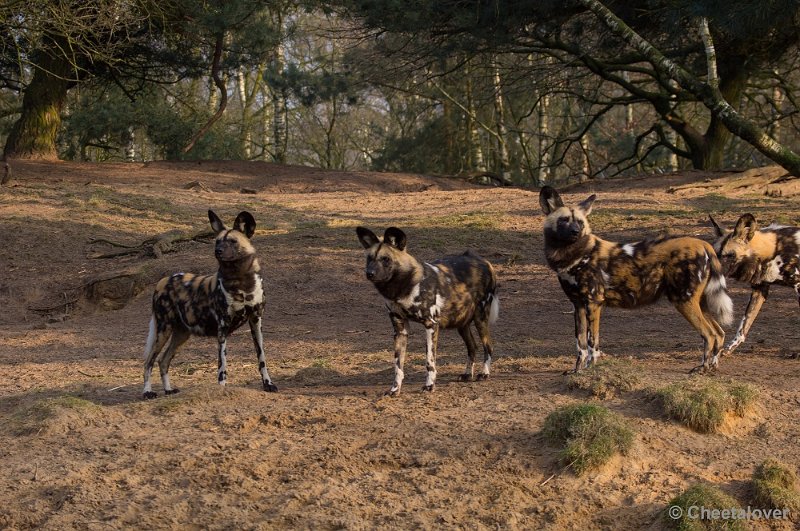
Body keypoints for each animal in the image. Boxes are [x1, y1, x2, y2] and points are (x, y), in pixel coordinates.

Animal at [142, 211, 280, 400]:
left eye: (233, 241)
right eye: (217, 241)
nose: (217, 251)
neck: (240, 282)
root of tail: (162, 281)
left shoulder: (256, 321)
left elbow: (262, 358)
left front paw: (268, 384)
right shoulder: (222, 327)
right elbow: (222, 364)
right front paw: (221, 388)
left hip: (181, 335)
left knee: (163, 361)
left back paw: (168, 390)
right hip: (164, 330)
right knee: (148, 361)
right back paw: (147, 392)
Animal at [354, 227, 496, 396]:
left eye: (386, 259)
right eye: (369, 258)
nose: (369, 273)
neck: (402, 287)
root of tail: (483, 261)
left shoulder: (431, 325)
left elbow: (429, 361)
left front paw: (429, 385)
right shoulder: (400, 330)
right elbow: (398, 365)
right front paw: (395, 389)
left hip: (480, 319)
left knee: (488, 347)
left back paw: (484, 373)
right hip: (461, 323)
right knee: (472, 347)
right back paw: (468, 374)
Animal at [540, 187, 736, 374]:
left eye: (580, 222)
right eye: (564, 220)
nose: (576, 232)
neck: (574, 255)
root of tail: (705, 245)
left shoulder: (594, 303)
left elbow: (591, 343)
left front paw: (589, 370)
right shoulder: (578, 305)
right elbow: (580, 344)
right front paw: (577, 371)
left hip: (683, 301)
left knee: (709, 334)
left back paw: (702, 368)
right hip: (699, 302)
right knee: (719, 333)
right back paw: (712, 367)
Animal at [708, 213, 796, 358]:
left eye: (730, 255)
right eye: (716, 254)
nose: (714, 270)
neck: (773, 251)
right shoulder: (759, 290)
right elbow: (744, 325)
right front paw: (729, 348)